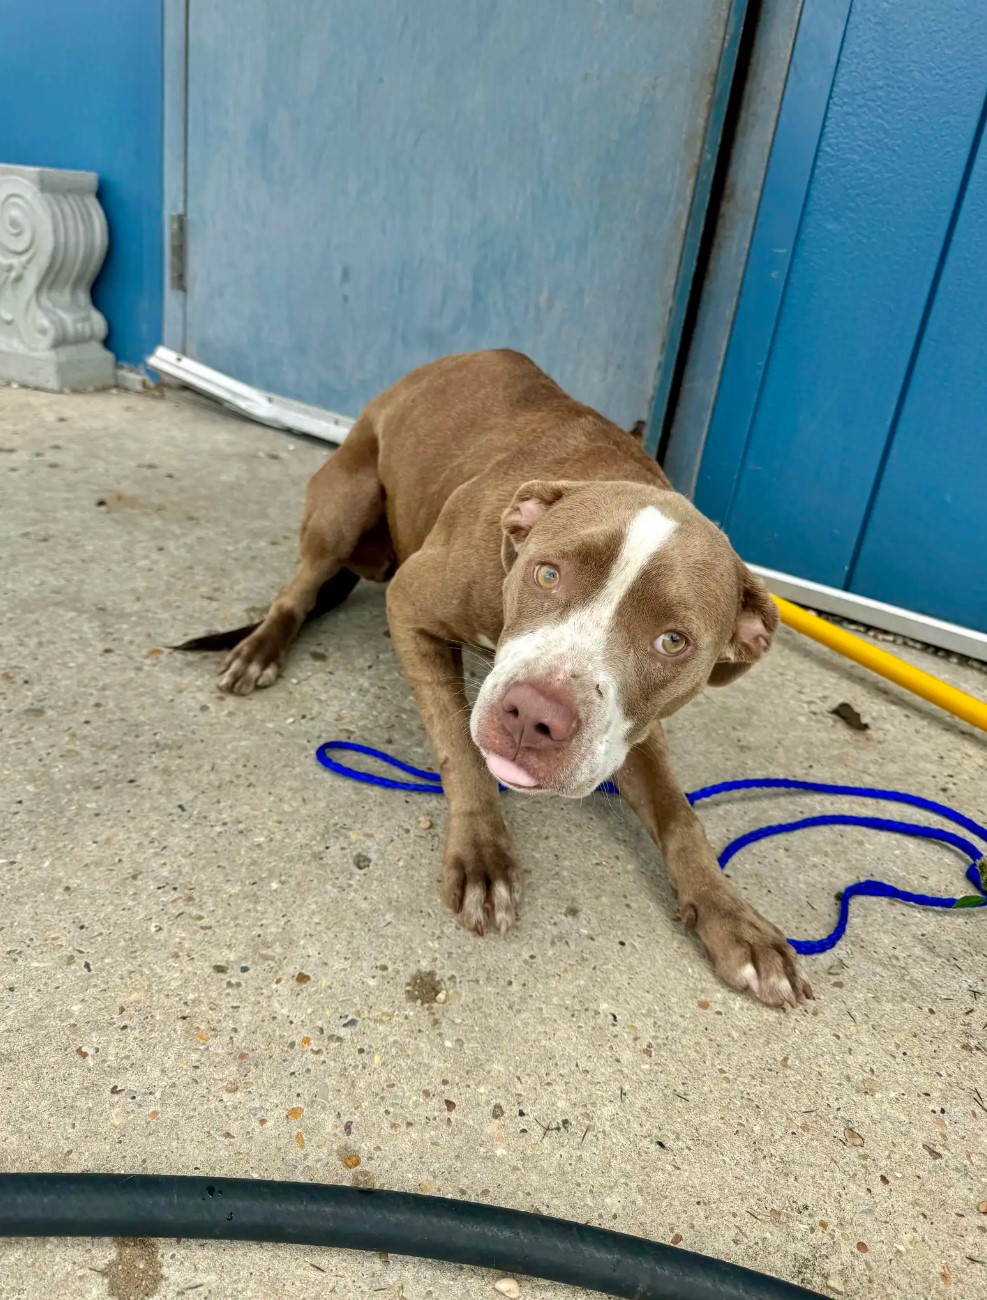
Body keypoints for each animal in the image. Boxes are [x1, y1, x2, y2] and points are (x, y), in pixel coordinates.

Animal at [188, 353, 816, 1003]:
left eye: (673, 641)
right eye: (548, 574)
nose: (535, 717)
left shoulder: (635, 731)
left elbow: (682, 817)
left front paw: (733, 917)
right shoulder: (409, 608)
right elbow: (460, 747)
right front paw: (483, 854)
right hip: (344, 503)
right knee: (299, 588)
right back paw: (259, 650)